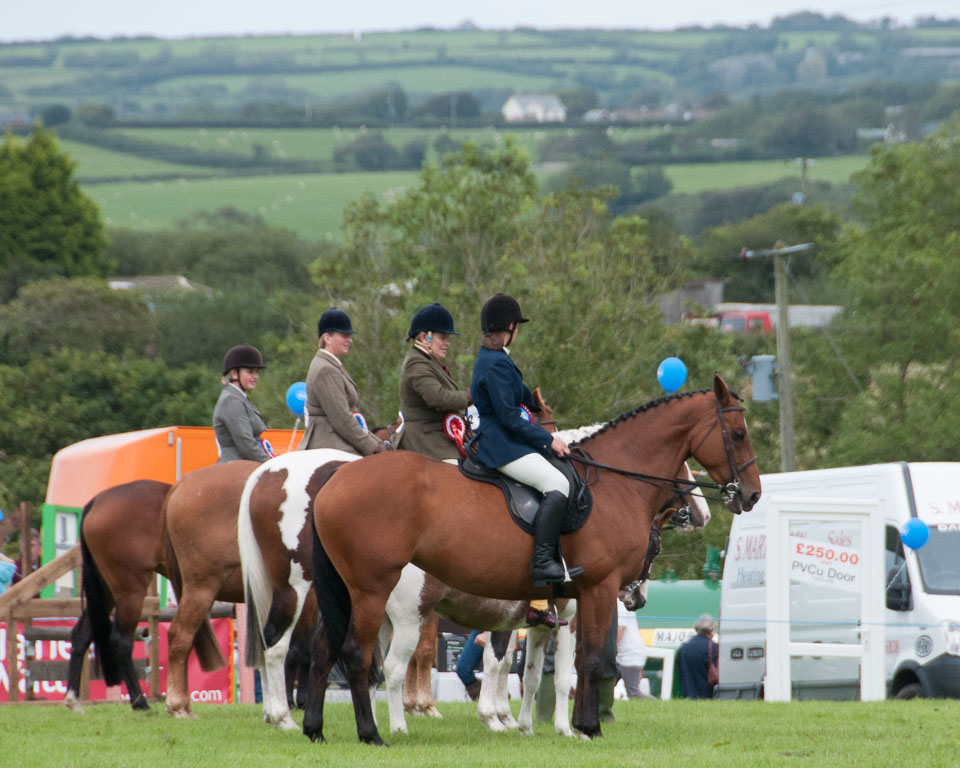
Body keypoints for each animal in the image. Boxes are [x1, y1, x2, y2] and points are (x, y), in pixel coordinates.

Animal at [304, 374, 760, 744]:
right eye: (738, 433)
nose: (751, 494)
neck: (615, 483)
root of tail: (338, 474)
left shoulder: (569, 602)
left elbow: (555, 668)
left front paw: (566, 726)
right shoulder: (599, 589)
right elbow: (592, 660)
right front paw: (586, 728)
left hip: (348, 592)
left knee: (325, 649)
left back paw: (315, 729)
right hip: (375, 592)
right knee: (361, 656)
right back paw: (373, 733)